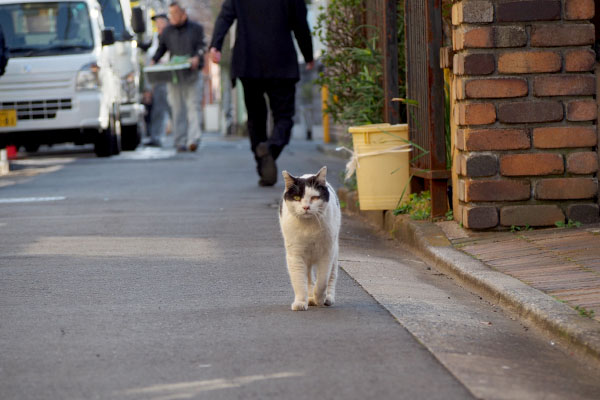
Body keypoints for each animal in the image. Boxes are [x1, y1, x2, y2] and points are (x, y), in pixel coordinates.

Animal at [278, 166, 340, 310]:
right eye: (296, 197)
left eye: (315, 197)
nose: (306, 207)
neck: (308, 227)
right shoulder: (295, 255)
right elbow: (300, 282)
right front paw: (301, 302)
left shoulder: (326, 254)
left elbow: (322, 281)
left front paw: (320, 299)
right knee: (308, 278)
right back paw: (310, 299)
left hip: (334, 251)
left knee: (332, 276)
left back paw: (327, 299)